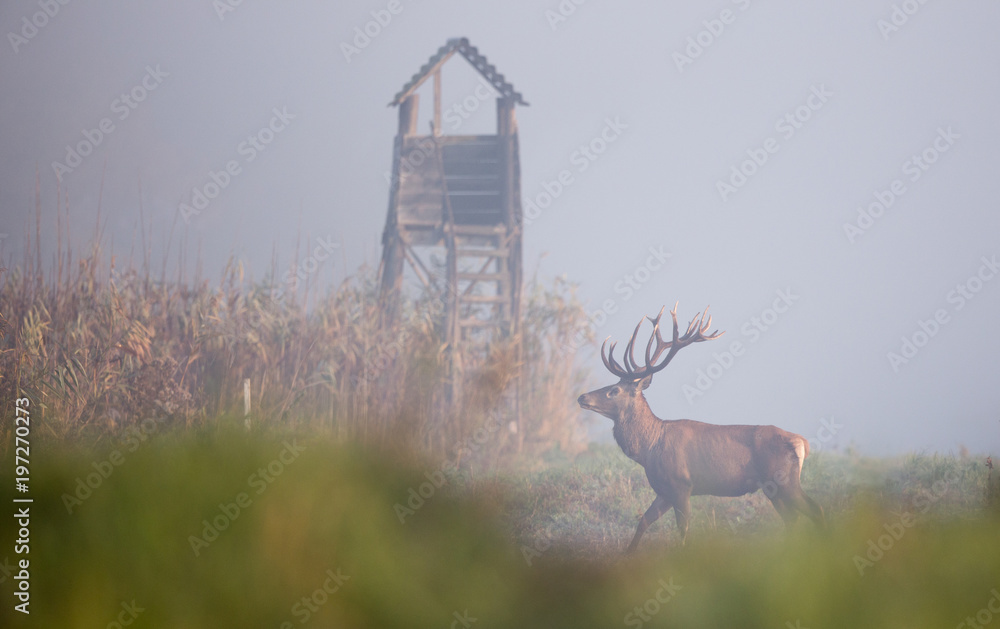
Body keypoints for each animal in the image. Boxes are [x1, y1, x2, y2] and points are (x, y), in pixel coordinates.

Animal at [577, 304, 825, 553]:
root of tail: (802, 442)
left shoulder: (681, 485)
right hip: (773, 488)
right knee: (792, 519)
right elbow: (644, 521)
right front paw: (627, 554)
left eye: (614, 390)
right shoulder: (664, 491)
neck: (649, 449)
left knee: (815, 509)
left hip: (785, 480)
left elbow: (683, 529)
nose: (582, 397)